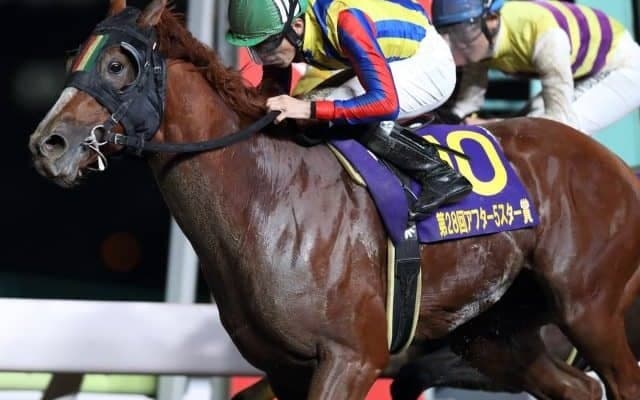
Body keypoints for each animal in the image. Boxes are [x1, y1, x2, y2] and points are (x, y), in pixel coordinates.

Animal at [28, 1, 640, 399]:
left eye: (117, 65)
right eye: (75, 59)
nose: (46, 145)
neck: (266, 199)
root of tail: (617, 167)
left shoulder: (352, 358)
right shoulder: (282, 368)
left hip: (589, 308)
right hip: (496, 334)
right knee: (579, 388)